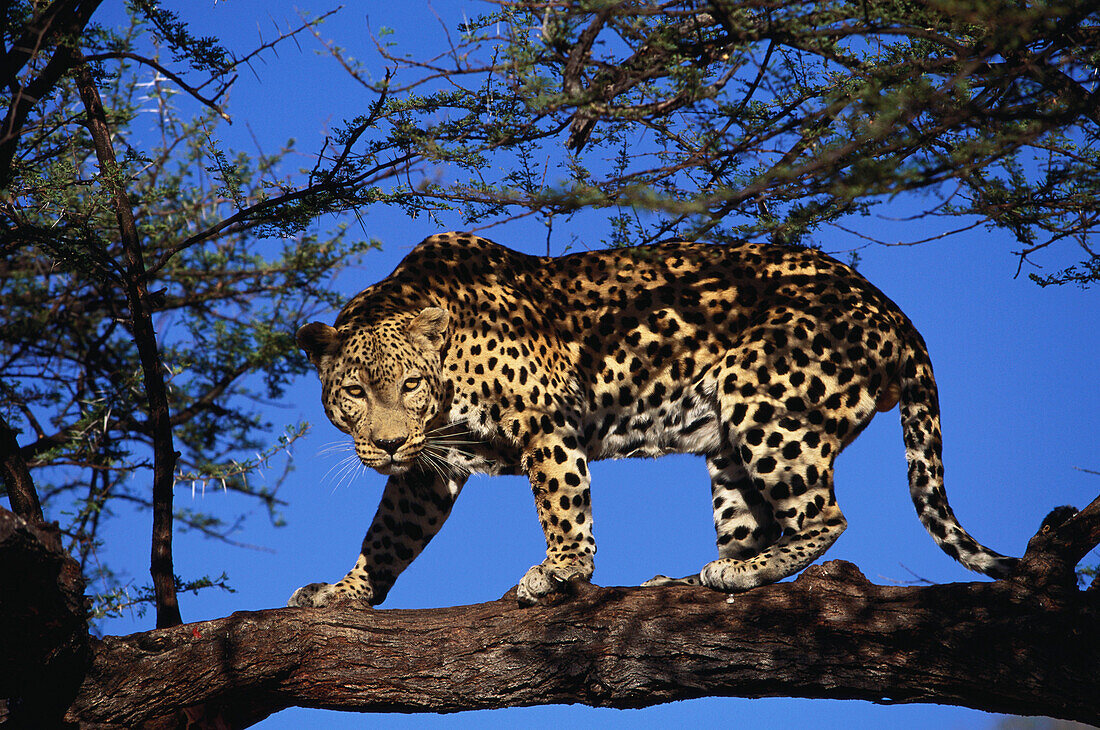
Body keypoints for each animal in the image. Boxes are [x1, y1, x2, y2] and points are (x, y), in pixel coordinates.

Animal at [288, 230, 1016, 606]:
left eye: (410, 383)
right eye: (354, 392)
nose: (386, 445)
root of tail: (891, 309)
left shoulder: (543, 419)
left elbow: (561, 499)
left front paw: (561, 570)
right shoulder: (427, 469)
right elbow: (389, 533)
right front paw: (345, 592)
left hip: (765, 400)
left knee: (825, 517)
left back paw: (747, 571)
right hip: (731, 448)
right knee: (752, 524)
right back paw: (700, 576)